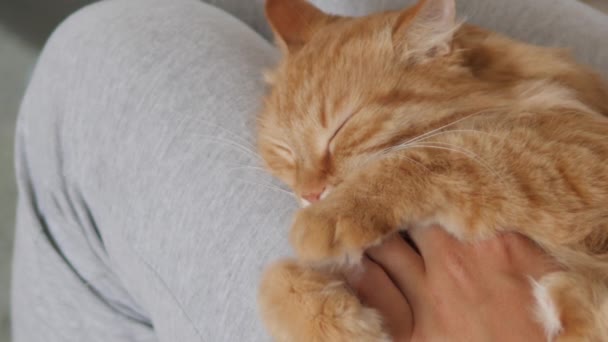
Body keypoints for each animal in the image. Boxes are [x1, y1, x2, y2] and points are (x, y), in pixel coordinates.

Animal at [256, 0, 608, 340]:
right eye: (283, 148)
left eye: (341, 129)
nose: (310, 194)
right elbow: (275, 278)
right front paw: (338, 327)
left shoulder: (582, 154)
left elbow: (438, 153)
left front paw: (326, 217)